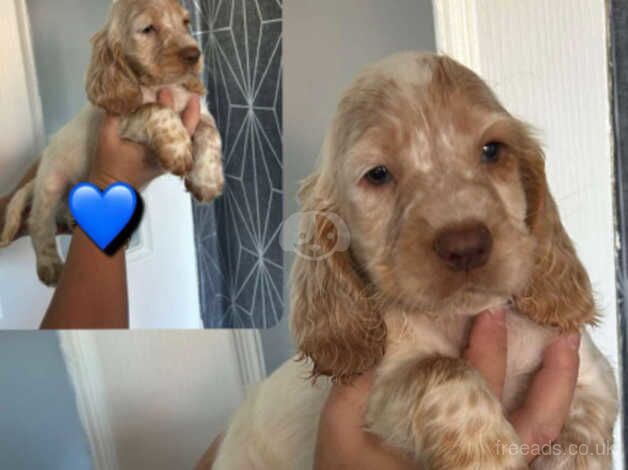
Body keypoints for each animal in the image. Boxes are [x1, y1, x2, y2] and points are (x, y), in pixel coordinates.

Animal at [0, 0, 222, 286]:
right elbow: (156, 108)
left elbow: (211, 135)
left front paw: (207, 181)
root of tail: (36, 180)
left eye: (186, 23)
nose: (195, 54)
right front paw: (178, 150)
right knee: (39, 223)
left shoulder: (199, 113)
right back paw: (49, 265)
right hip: (51, 182)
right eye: (147, 28)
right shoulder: (124, 120)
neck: (160, 86)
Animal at [212, 52, 620, 470]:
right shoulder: (382, 387)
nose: (466, 246)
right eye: (377, 174)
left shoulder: (592, 375)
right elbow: (443, 370)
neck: (460, 319)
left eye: (492, 150)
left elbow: (581, 439)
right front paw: (488, 455)